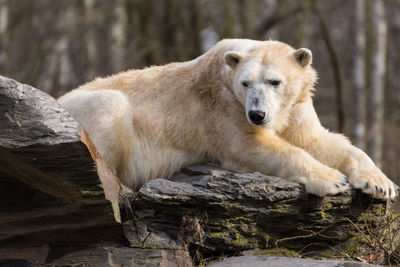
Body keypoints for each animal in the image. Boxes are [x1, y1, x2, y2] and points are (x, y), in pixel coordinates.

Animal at [58, 38, 396, 200]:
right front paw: (332, 179)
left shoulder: (296, 107)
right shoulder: (222, 106)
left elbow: (319, 140)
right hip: (87, 107)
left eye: (275, 81)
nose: (257, 114)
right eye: (245, 83)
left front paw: (380, 184)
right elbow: (248, 146)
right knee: (111, 107)